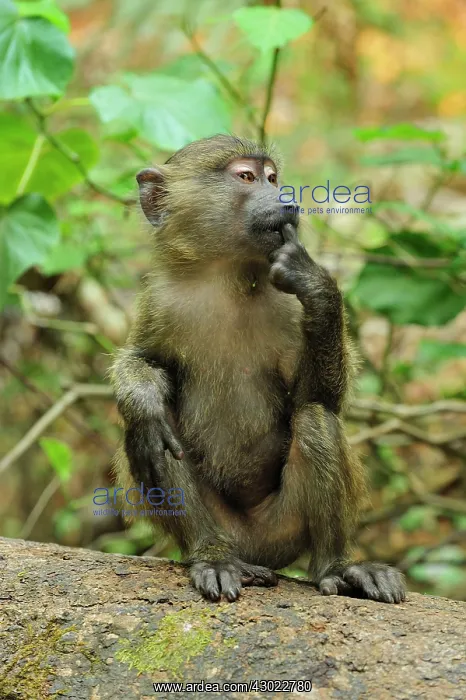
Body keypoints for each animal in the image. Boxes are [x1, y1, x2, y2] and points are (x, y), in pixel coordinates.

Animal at [111, 134, 406, 604]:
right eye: (247, 177)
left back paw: (337, 567)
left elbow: (318, 396)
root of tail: (257, 552)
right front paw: (141, 398)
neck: (229, 276)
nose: (286, 199)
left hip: (285, 527)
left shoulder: (288, 304)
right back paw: (212, 556)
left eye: (272, 177)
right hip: (227, 529)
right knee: (155, 435)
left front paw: (315, 283)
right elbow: (144, 361)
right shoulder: (161, 300)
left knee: (314, 420)